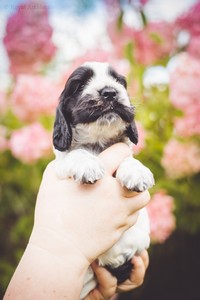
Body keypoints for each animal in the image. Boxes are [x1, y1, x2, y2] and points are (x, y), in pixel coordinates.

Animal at [52, 61, 154, 298]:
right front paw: (88, 165)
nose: (110, 92)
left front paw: (137, 172)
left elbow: (127, 157)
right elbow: (76, 153)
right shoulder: (59, 165)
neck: (98, 142)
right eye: (80, 85)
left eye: (119, 82)